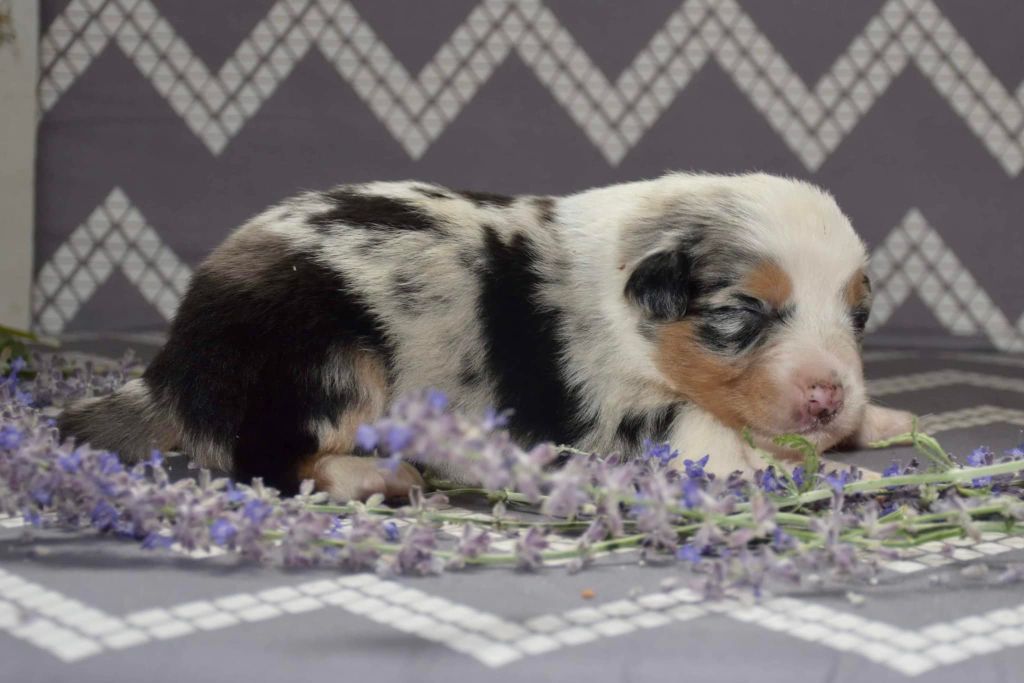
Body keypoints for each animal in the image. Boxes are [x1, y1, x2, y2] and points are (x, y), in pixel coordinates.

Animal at [58, 172, 913, 500]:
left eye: (858, 314)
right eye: (743, 312)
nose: (827, 395)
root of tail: (172, 366)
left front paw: (878, 421)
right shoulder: (626, 412)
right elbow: (724, 442)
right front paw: (840, 473)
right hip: (325, 362)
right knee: (267, 458)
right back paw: (373, 473)